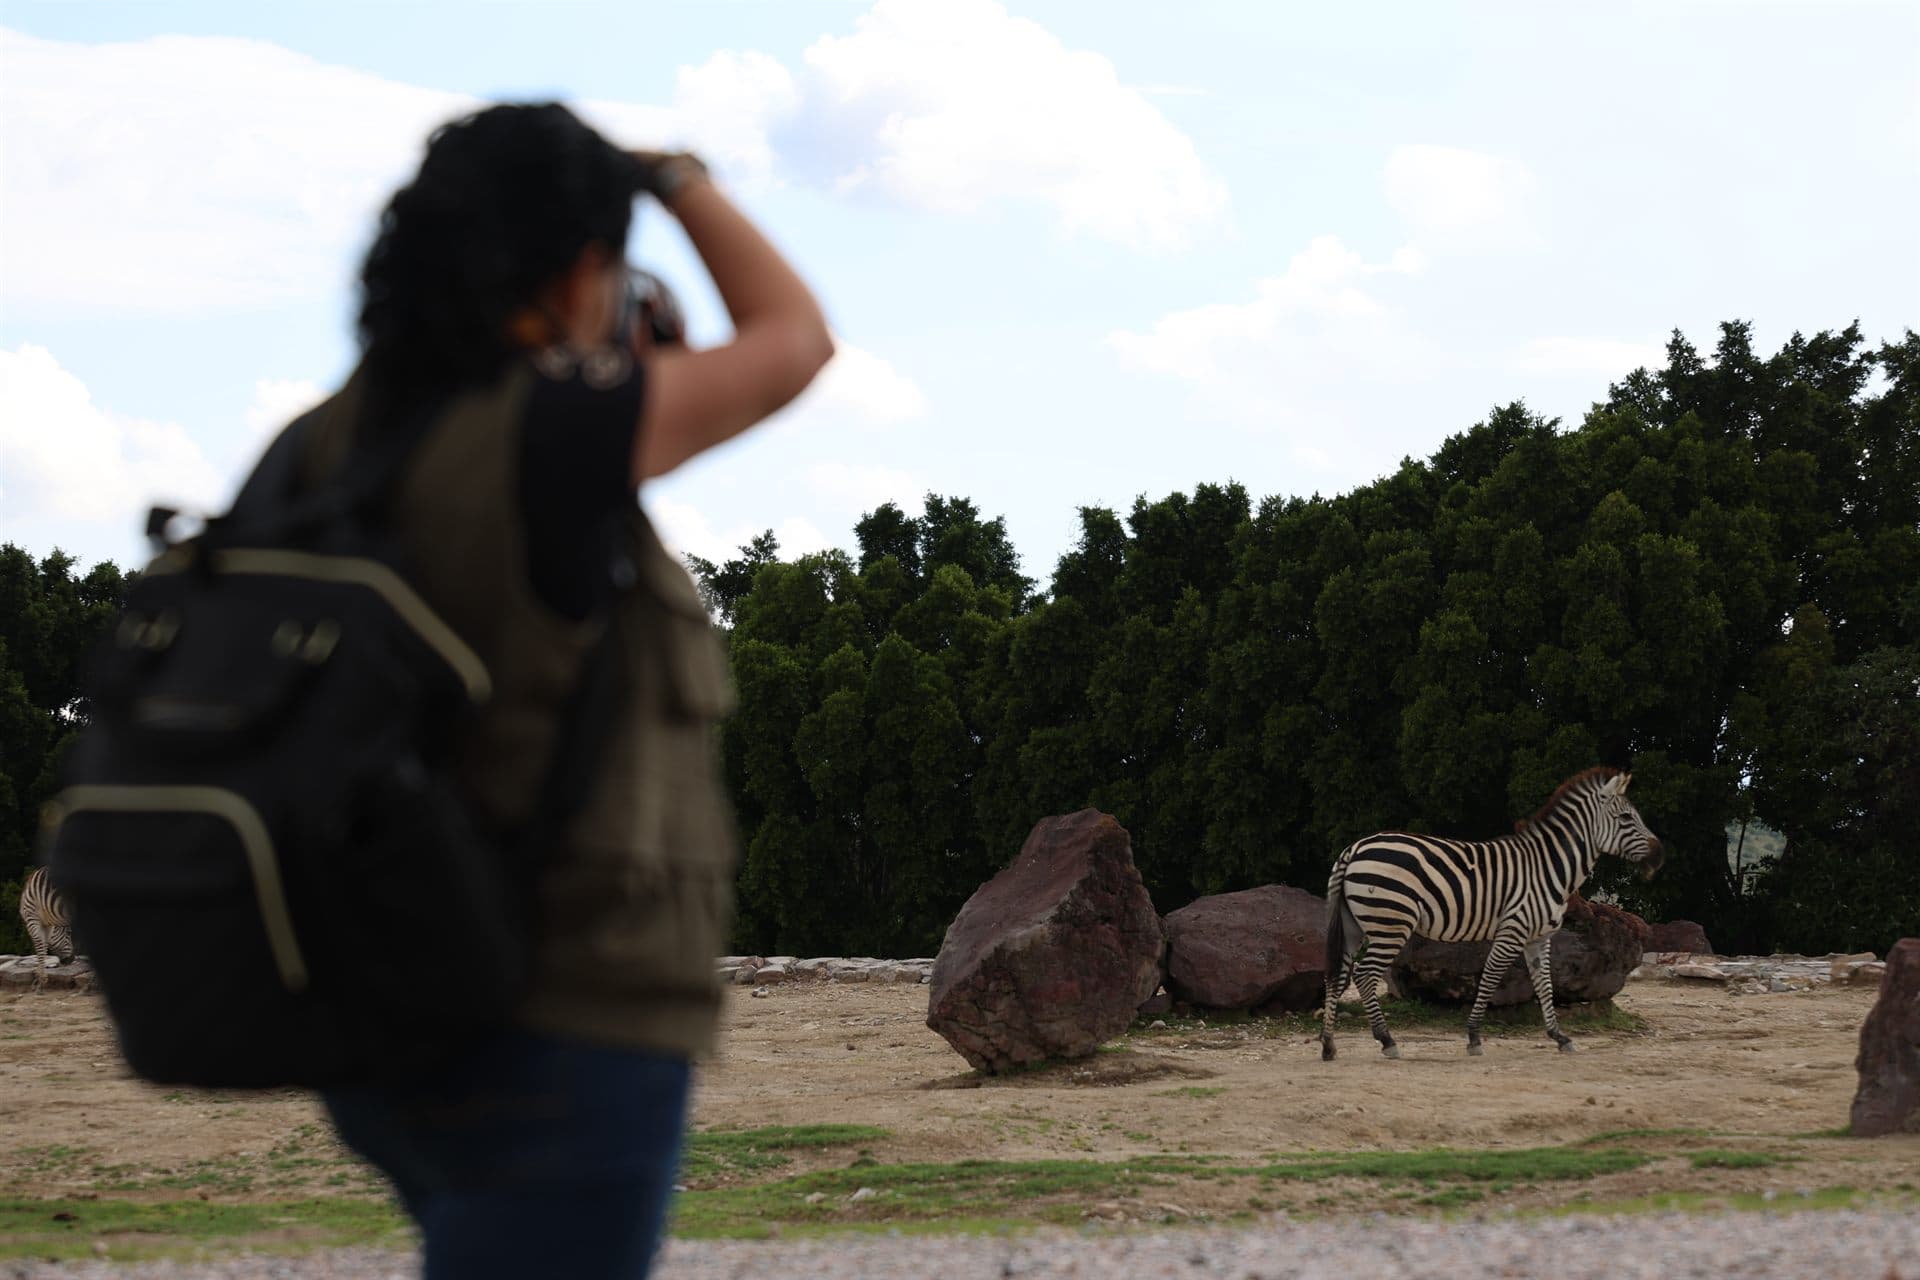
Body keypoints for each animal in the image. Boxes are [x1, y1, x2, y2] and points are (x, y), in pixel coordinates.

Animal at [1319, 767, 1663, 1061]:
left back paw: (1328, 1045)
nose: (1659, 857)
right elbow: (1489, 979)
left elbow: (1545, 985)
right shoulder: (1513, 930)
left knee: (1337, 974)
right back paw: (1387, 1040)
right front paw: (1473, 1037)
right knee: (1364, 974)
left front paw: (1559, 1036)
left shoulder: (1539, 938)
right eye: (1626, 817)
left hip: (1355, 926)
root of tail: (1354, 848)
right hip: (1391, 923)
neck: (1547, 868)